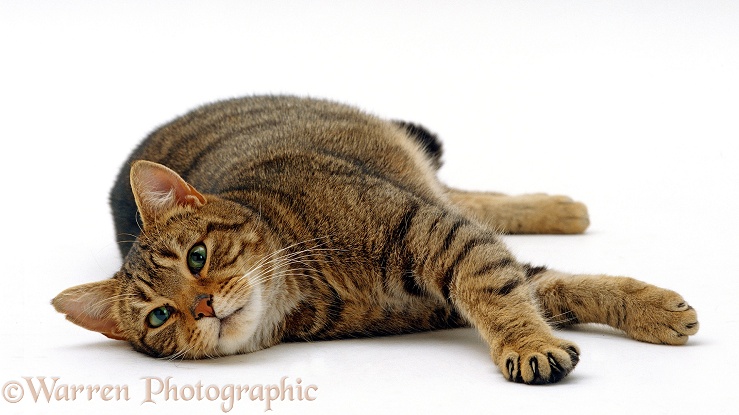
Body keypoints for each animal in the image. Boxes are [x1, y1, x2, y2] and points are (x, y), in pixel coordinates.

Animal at [52, 95, 700, 386]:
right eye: (161, 316)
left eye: (197, 257)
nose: (205, 307)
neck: (312, 284)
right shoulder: (441, 290)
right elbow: (544, 288)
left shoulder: (440, 236)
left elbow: (514, 290)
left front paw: (644, 310)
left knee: (464, 196)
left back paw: (562, 209)